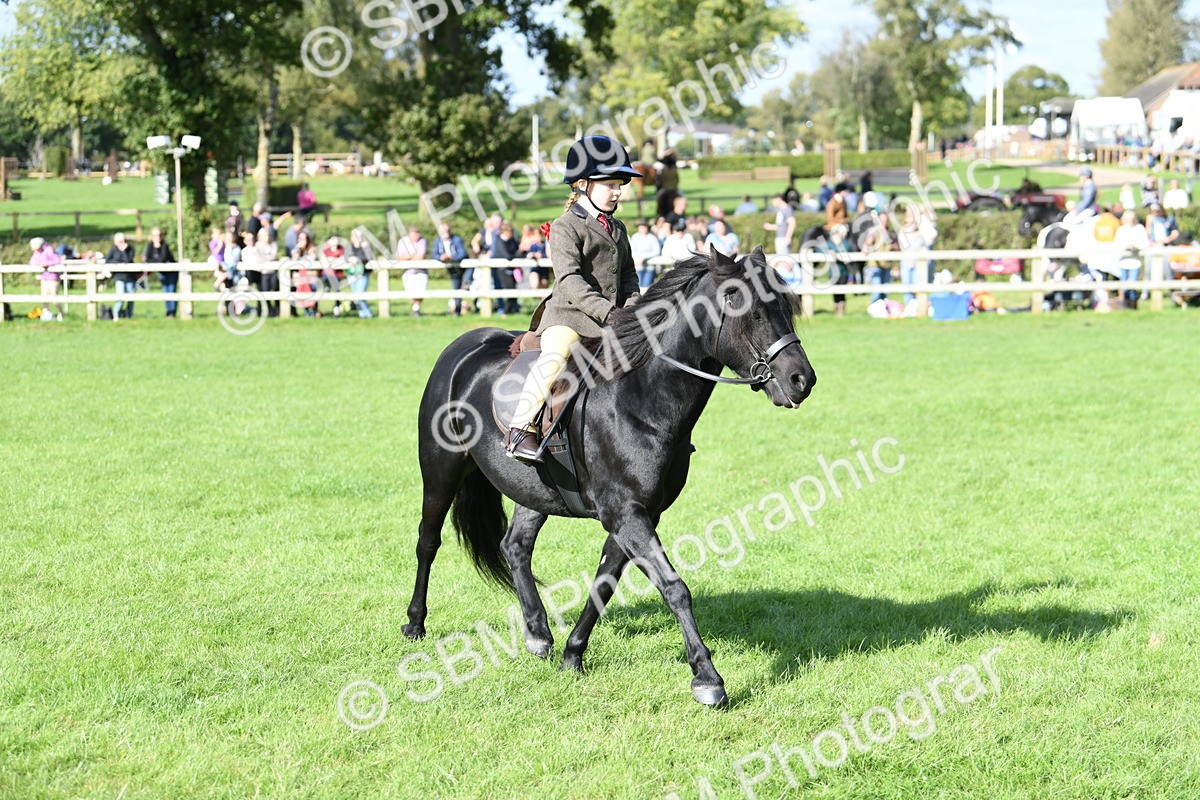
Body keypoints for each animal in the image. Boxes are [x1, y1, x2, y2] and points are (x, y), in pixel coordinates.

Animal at [405, 246, 817, 706]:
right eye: (749, 310)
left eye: (785, 308)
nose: (802, 380)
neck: (639, 398)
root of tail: (462, 348)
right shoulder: (626, 514)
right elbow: (674, 587)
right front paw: (707, 678)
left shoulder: (640, 514)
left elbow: (603, 583)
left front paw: (572, 655)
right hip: (440, 470)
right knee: (428, 542)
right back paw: (415, 624)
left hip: (534, 491)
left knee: (515, 546)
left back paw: (538, 633)